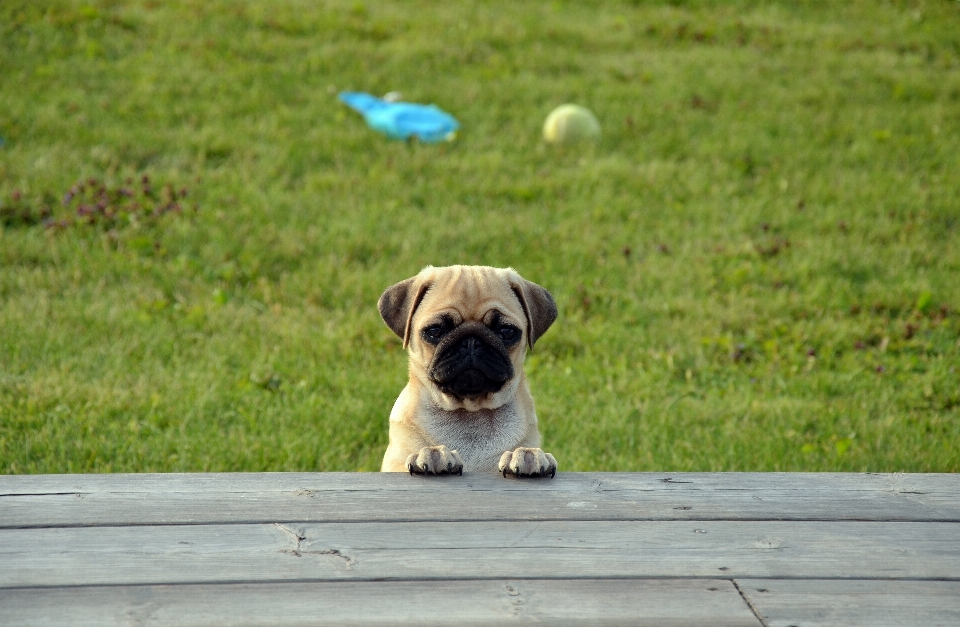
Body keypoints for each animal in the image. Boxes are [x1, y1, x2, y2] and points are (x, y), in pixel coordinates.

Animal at [378, 264, 560, 476]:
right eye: (434, 331)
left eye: (507, 331)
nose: (471, 341)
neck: (470, 412)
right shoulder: (394, 463)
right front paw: (434, 454)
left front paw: (528, 455)